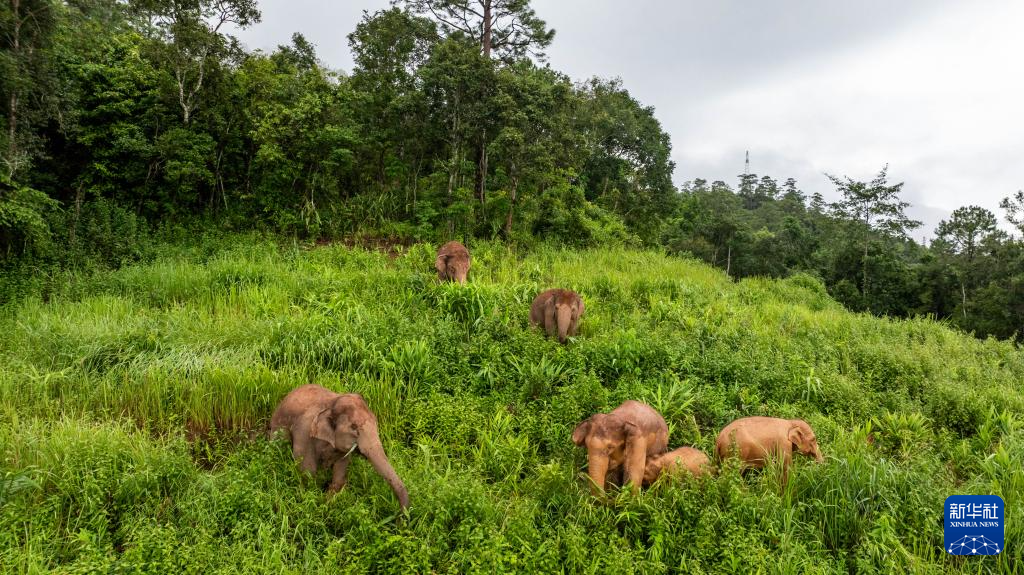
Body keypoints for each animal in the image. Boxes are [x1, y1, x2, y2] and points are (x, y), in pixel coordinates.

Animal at [270, 382, 409, 507]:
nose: (402, 516)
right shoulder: (304, 431)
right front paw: (316, 501)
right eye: (354, 427)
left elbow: (340, 473)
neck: (332, 403)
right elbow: (307, 471)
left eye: (376, 423)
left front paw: (327, 502)